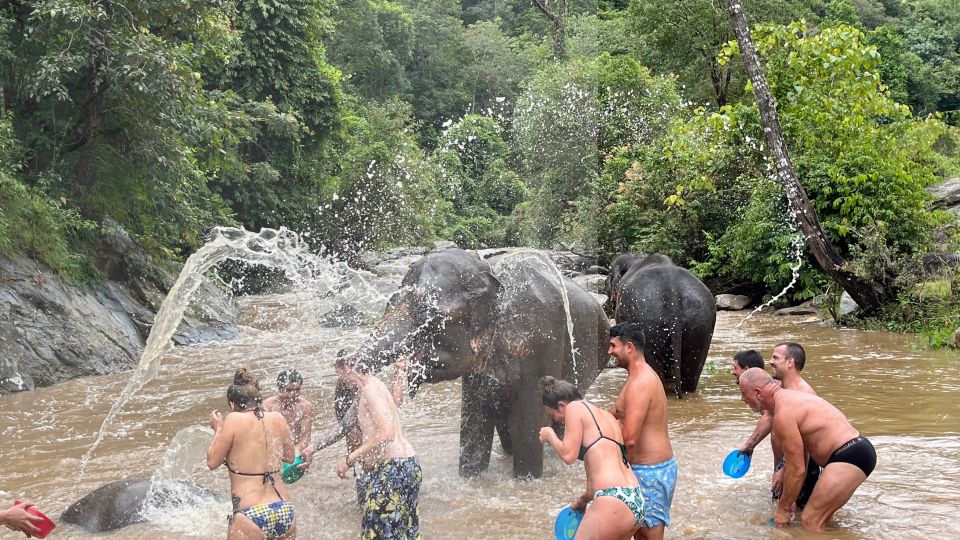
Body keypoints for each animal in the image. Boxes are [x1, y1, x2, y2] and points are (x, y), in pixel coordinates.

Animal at [348, 248, 612, 476]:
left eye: (428, 314)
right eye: (388, 303)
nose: (343, 358)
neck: (488, 272)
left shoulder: (542, 341)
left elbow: (528, 423)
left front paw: (527, 479)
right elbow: (475, 418)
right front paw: (471, 478)